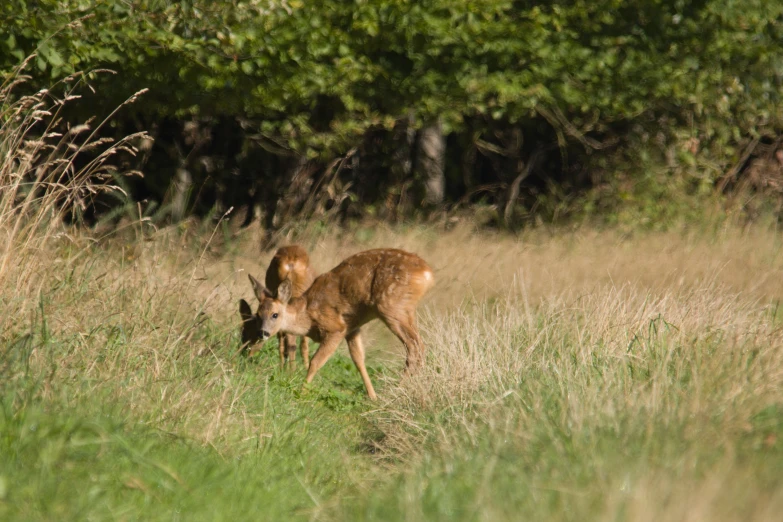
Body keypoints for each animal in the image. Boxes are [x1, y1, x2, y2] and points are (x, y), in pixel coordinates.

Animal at [248, 248, 434, 398]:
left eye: (275, 314)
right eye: (257, 314)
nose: (262, 333)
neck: (307, 315)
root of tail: (427, 273)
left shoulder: (336, 328)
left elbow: (316, 362)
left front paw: (302, 391)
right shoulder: (352, 329)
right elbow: (359, 360)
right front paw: (372, 396)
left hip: (392, 307)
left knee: (416, 346)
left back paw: (396, 390)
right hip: (402, 309)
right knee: (418, 346)